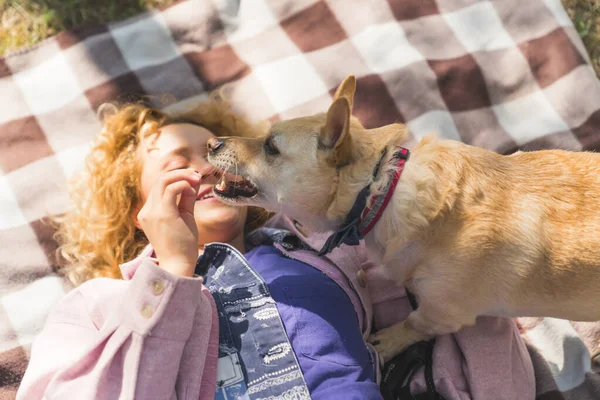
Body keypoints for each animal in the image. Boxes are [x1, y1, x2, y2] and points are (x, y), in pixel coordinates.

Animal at [206, 75, 600, 362]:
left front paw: (386, 341)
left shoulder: (443, 312)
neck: (380, 189)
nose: (210, 143)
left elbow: (414, 323)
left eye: (271, 147)